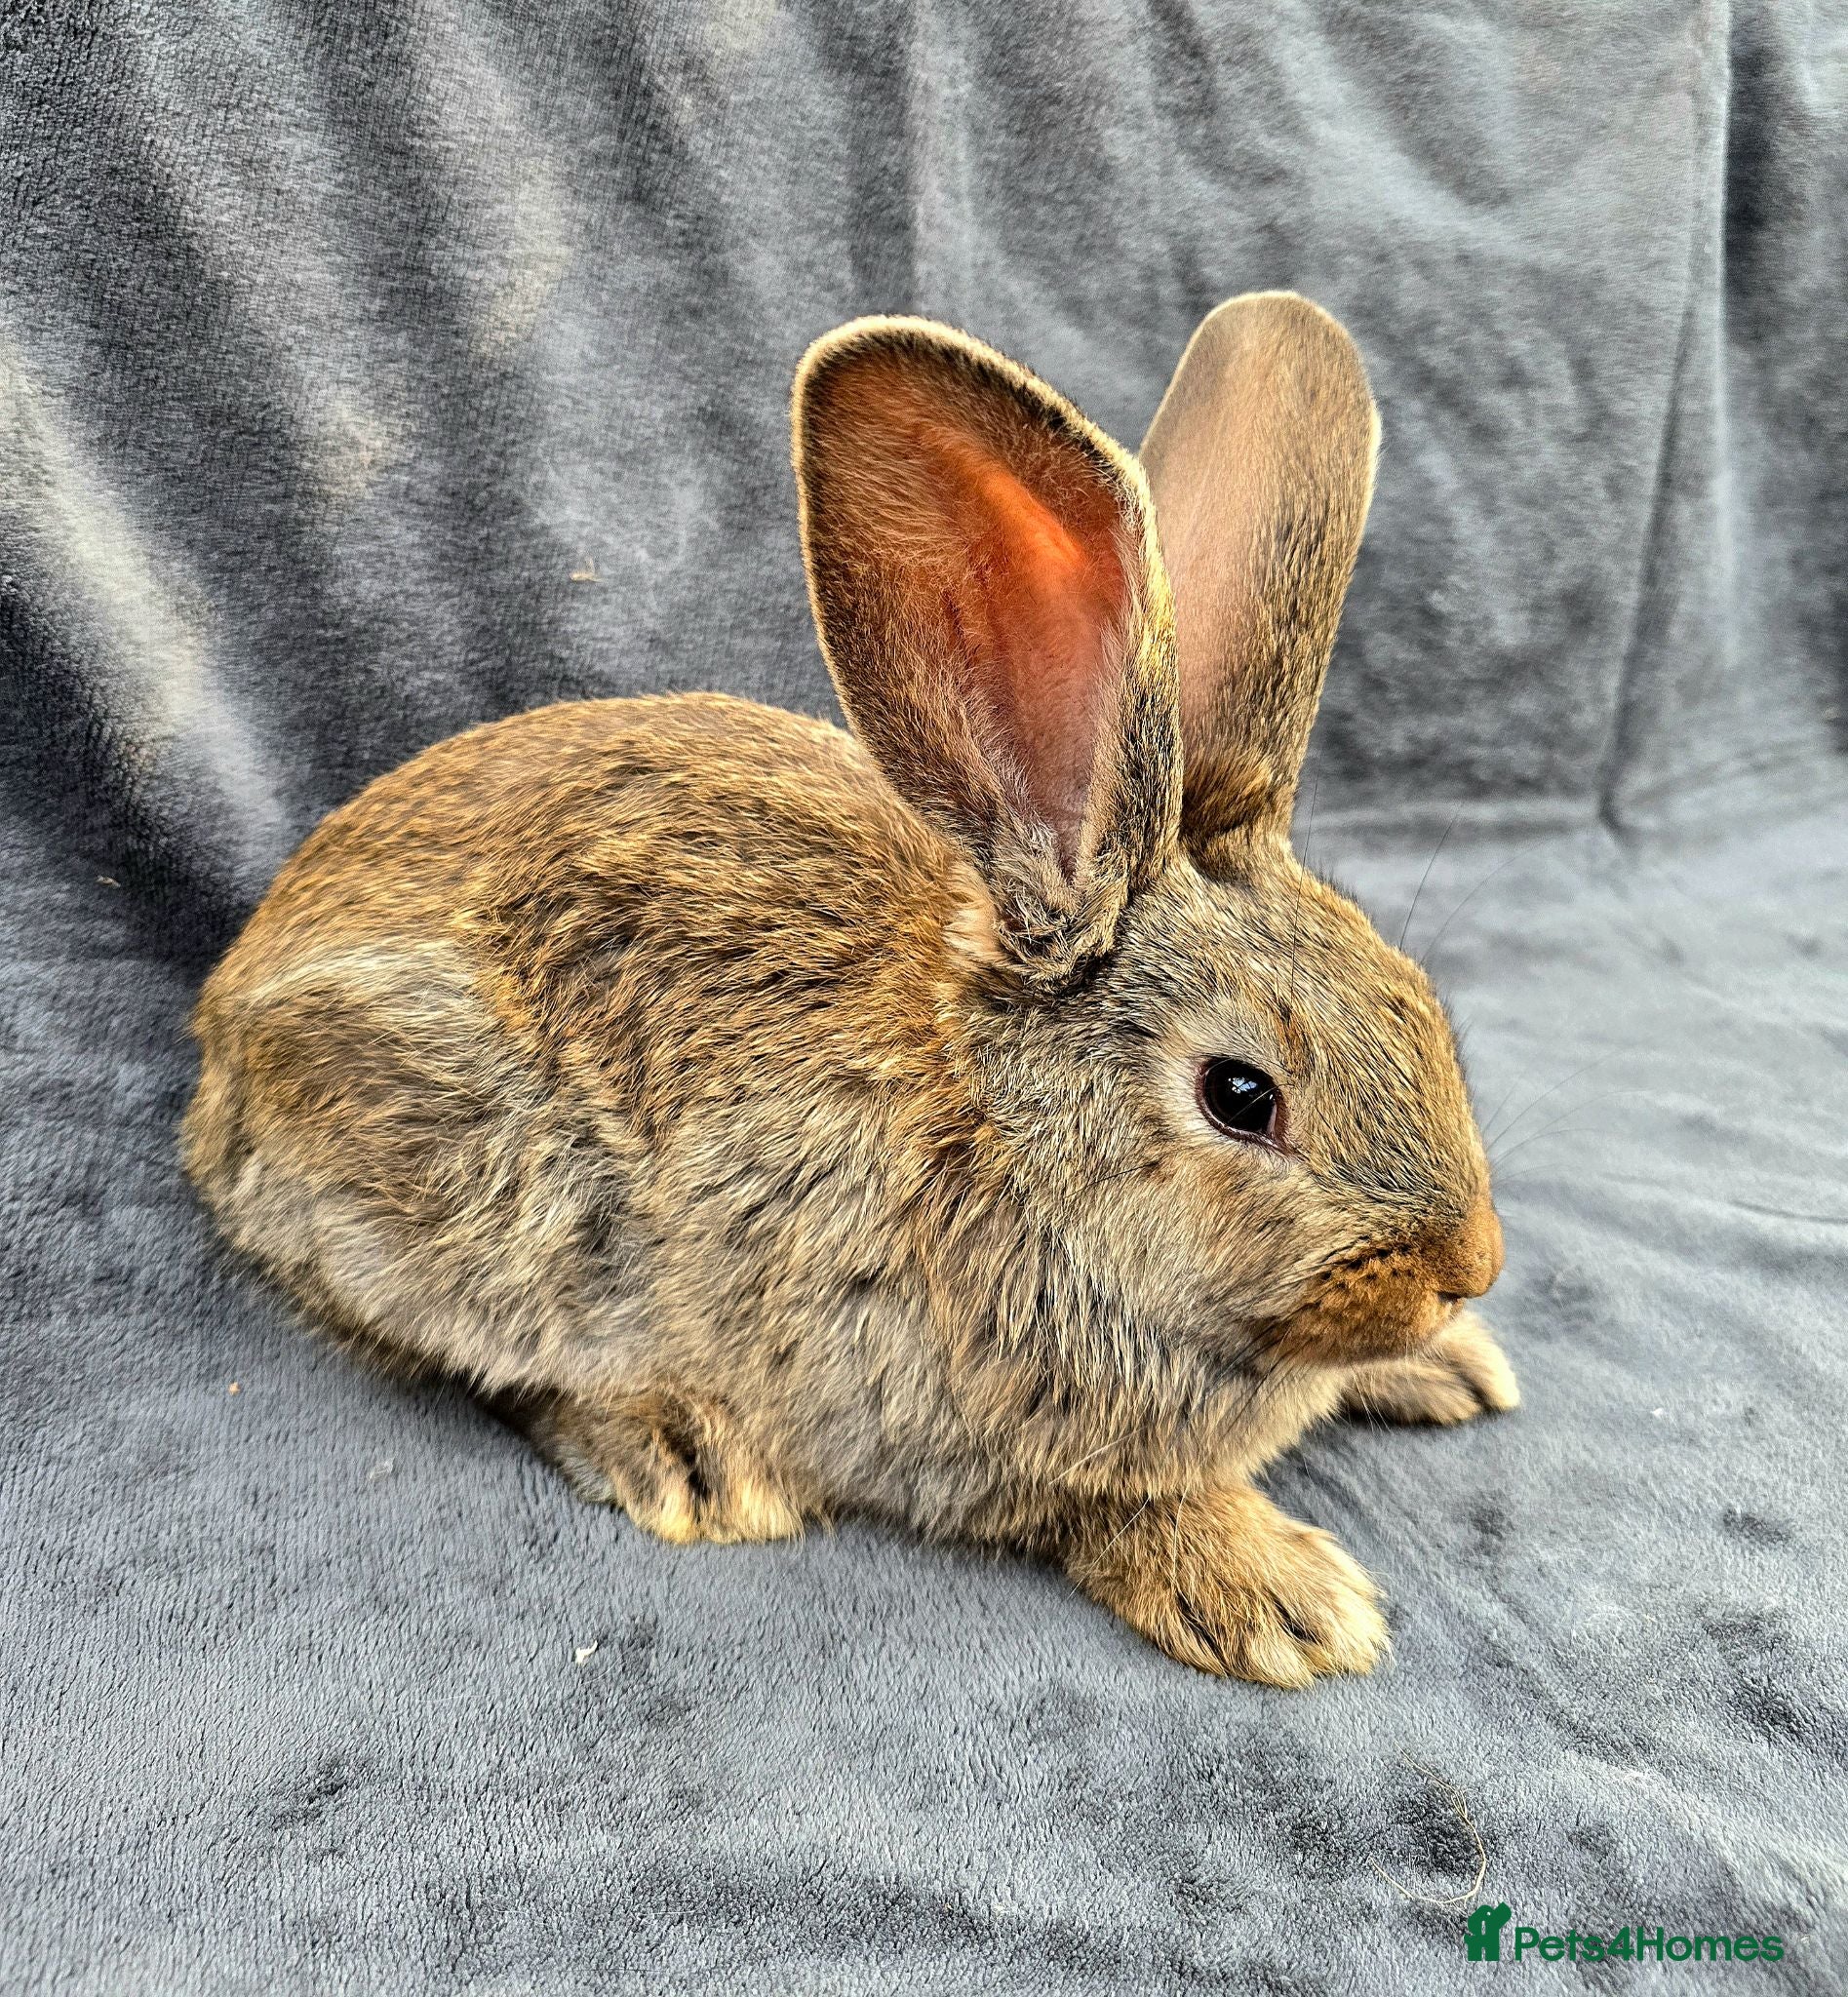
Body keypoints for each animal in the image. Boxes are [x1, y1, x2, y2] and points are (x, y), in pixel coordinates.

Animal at [182, 293, 1514, 1687]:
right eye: (1240, 1094)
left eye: (1417, 1000)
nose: (1467, 1266)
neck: (1006, 1135)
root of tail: (221, 1037)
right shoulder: (956, 1427)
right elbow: (1099, 1505)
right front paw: (1280, 1592)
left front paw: (1450, 1365)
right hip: (472, 1185)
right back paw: (685, 1452)